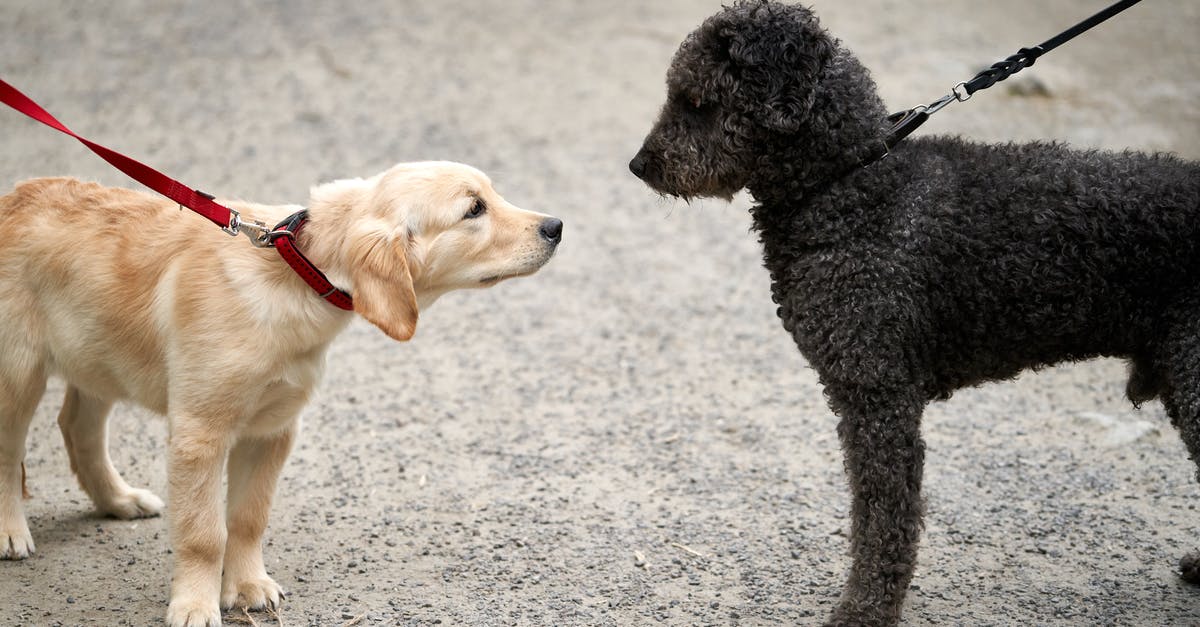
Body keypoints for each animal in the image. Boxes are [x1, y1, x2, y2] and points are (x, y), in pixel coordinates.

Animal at [0, 160, 561, 624]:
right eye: (473, 209)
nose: (556, 227)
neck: (295, 271)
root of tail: (14, 197)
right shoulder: (200, 433)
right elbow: (204, 533)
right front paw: (196, 605)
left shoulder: (272, 429)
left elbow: (248, 518)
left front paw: (247, 586)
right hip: (18, 373)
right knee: (10, 453)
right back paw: (10, 531)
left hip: (98, 354)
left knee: (78, 428)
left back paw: (118, 500)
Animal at [628, 1, 1200, 624]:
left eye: (697, 101)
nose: (638, 166)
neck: (852, 184)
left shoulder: (879, 396)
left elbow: (884, 519)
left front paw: (865, 608)